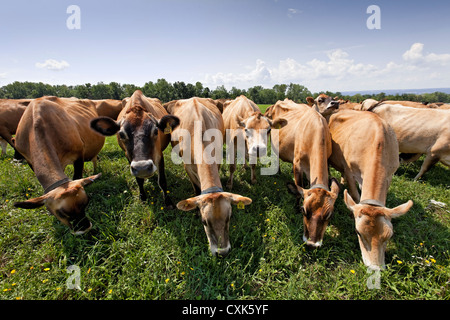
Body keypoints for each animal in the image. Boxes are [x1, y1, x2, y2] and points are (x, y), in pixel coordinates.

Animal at [12, 96, 104, 234]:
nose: (84, 229)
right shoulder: (29, 160)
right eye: (60, 213)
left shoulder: (79, 153)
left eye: (87, 202)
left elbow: (77, 175)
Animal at [169, 97, 253, 258]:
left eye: (229, 218)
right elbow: (196, 189)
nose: (222, 252)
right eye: (204, 221)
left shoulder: (218, 158)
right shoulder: (187, 167)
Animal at [268, 99, 338, 249]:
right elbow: (298, 188)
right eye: (304, 210)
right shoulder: (297, 164)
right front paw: (295, 206)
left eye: (329, 216)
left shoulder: (327, 160)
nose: (312, 244)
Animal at [326, 109, 414, 268]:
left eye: (389, 235)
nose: (375, 269)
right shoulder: (349, 170)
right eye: (358, 232)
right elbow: (355, 195)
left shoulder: (389, 175)